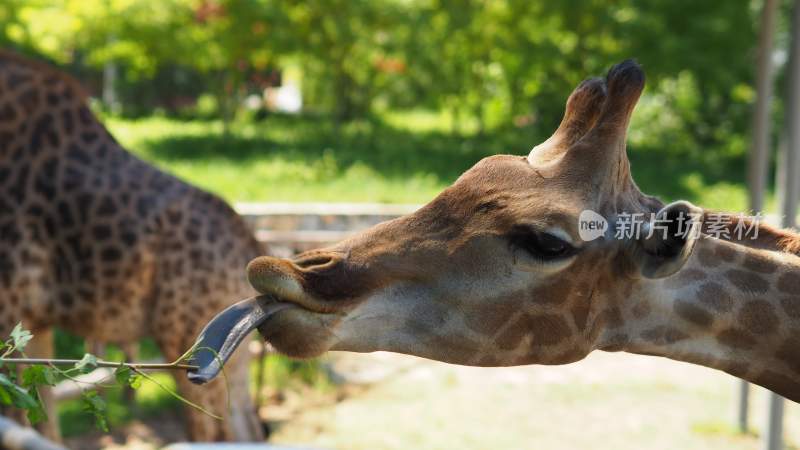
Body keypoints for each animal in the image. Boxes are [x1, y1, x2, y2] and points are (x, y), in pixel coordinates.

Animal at [0, 51, 268, 442]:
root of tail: (252, 247)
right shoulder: (35, 322)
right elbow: (42, 423)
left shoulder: (8, 310)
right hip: (234, 350)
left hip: (187, 341)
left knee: (210, 430)